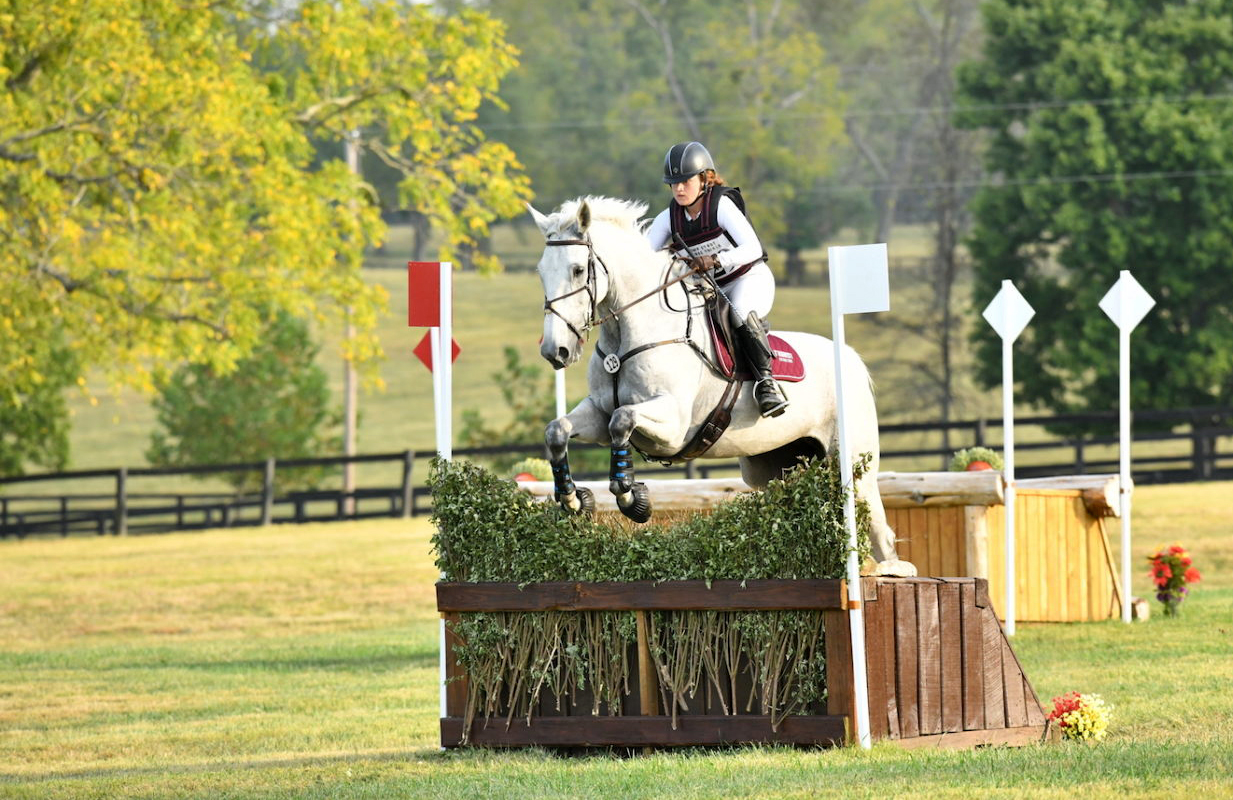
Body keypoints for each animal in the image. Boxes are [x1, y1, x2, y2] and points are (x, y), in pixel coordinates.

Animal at [530, 195, 917, 576]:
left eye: (578, 270)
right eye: (541, 272)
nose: (555, 351)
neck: (629, 332)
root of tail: (850, 358)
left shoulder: (673, 426)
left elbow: (622, 421)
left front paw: (631, 498)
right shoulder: (597, 411)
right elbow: (558, 430)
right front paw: (573, 499)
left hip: (851, 461)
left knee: (878, 526)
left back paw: (890, 569)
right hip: (772, 468)